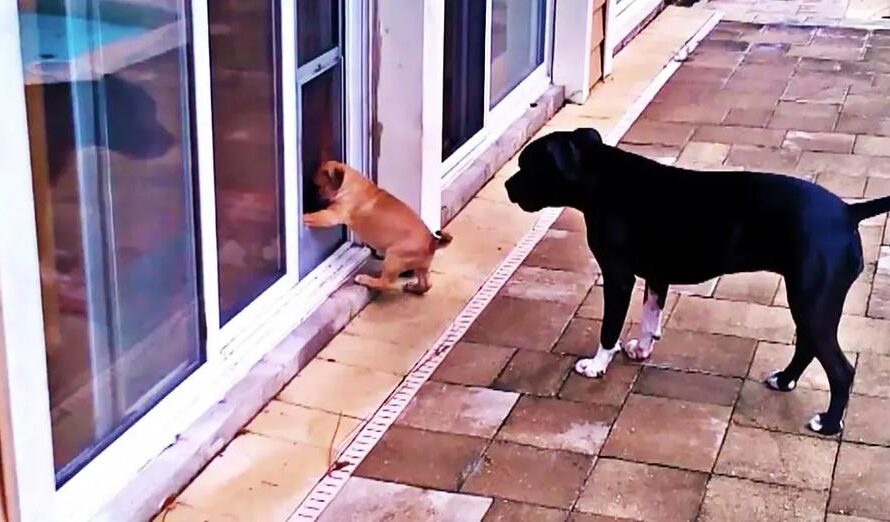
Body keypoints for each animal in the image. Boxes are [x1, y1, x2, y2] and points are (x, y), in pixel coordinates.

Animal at [302, 159, 450, 292]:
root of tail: (431, 242)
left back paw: (365, 280)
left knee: (385, 283)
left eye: (318, 187)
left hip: (393, 258)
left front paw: (303, 216)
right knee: (426, 284)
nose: (313, 197)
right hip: (421, 267)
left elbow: (316, 217)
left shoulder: (332, 215)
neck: (349, 183)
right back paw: (413, 288)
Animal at [502, 127, 888, 434]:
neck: (601, 176)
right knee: (809, 346)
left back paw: (829, 422)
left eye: (528, 166)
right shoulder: (656, 274)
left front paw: (597, 365)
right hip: (810, 303)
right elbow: (650, 316)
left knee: (840, 370)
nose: (506, 185)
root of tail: (848, 212)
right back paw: (784, 379)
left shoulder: (618, 278)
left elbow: (609, 328)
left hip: (812, 303)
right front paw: (642, 349)